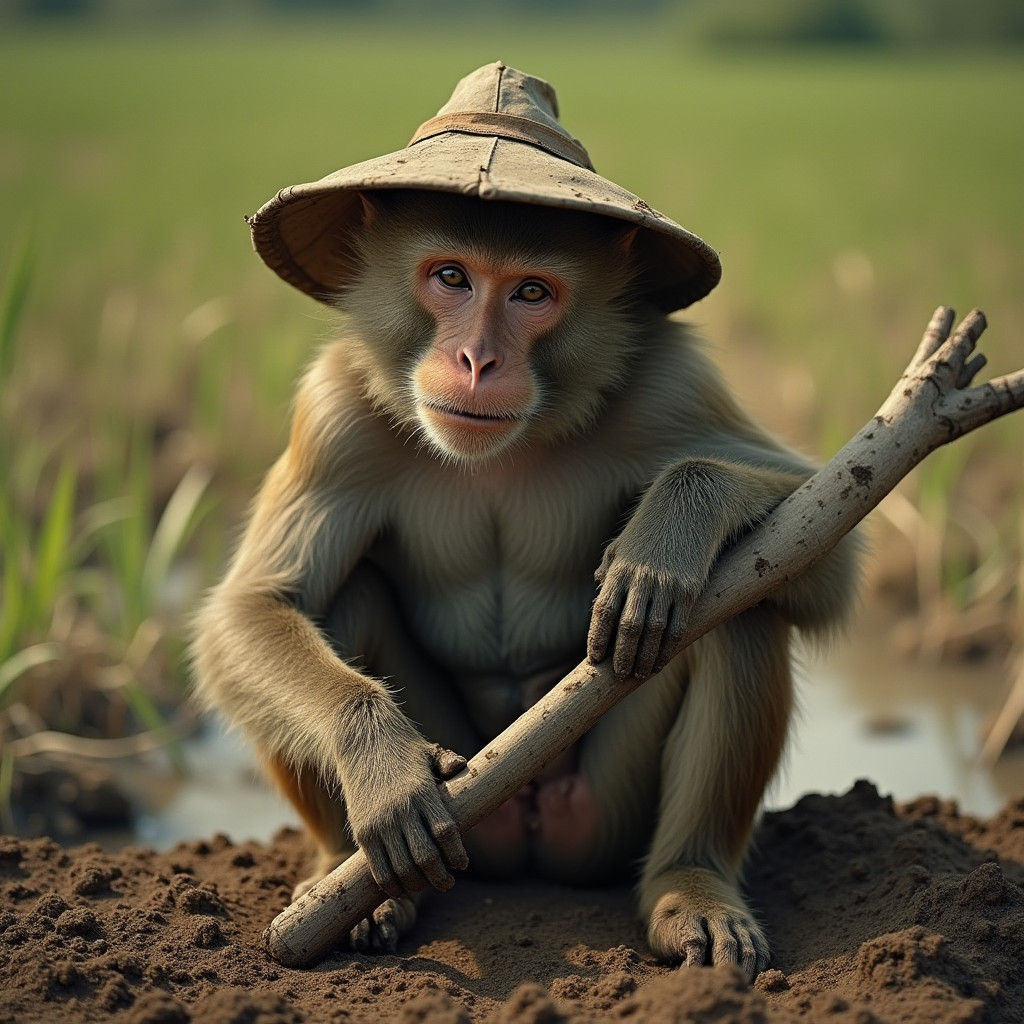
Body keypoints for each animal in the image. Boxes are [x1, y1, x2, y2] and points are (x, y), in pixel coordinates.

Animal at [193, 189, 858, 977]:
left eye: (532, 293)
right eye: (452, 277)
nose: (477, 361)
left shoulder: (672, 384)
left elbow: (827, 542)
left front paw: (673, 527)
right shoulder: (336, 415)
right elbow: (255, 606)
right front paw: (376, 755)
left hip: (601, 819)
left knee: (736, 609)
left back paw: (690, 883)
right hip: (470, 820)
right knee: (343, 600)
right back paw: (350, 884)